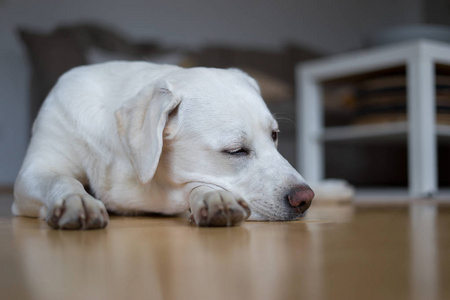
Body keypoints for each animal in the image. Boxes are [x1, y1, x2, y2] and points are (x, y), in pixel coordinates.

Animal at [11, 62, 312, 229]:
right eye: (236, 150)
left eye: (274, 136)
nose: (305, 198)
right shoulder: (34, 173)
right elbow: (61, 180)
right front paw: (77, 201)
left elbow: (194, 187)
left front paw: (214, 197)